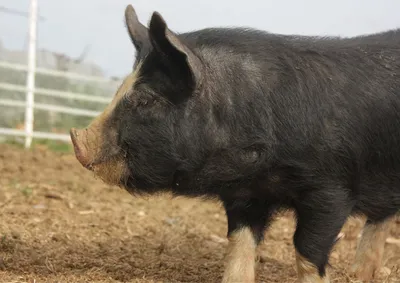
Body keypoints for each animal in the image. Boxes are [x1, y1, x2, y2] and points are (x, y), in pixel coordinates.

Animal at [71, 5, 400, 283]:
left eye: (146, 100)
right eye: (119, 91)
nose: (78, 141)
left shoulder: (331, 189)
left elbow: (308, 251)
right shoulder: (246, 193)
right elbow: (239, 244)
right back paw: (361, 275)